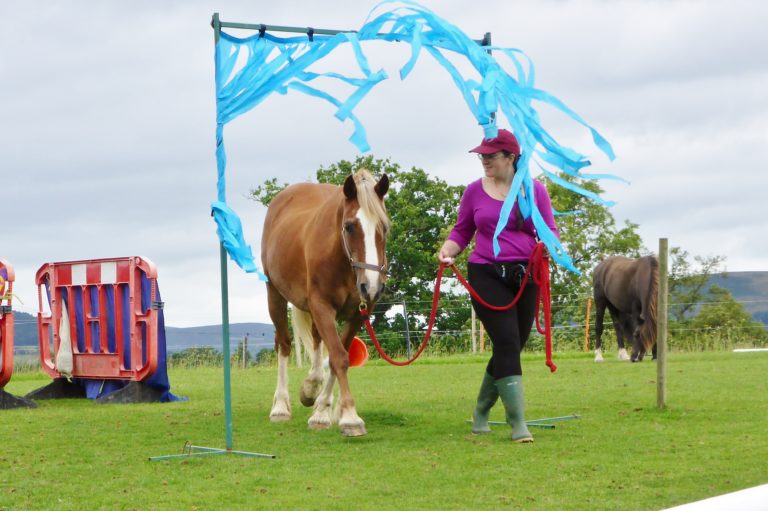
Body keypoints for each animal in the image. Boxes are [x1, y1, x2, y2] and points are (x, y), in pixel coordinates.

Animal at [260, 170, 388, 438]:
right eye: (349, 226)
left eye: (383, 227)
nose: (371, 286)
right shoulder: (321, 305)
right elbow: (338, 358)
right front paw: (349, 416)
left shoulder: (359, 313)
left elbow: (338, 357)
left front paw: (322, 410)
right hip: (274, 295)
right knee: (283, 344)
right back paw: (280, 406)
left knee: (317, 343)